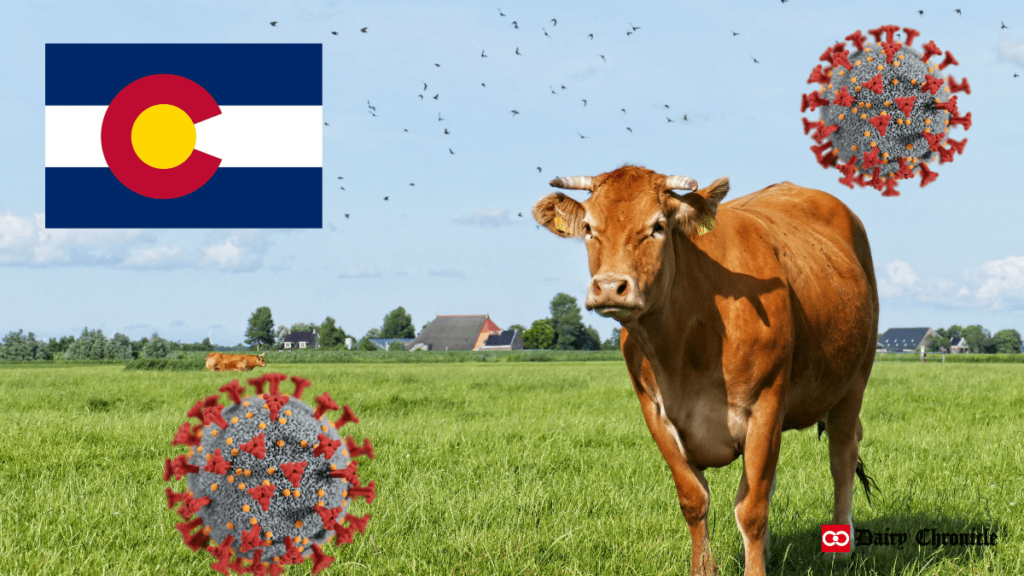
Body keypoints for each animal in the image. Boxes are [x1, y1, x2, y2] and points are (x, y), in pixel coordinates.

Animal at [532, 165, 876, 573]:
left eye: (658, 226)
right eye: (588, 227)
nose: (611, 287)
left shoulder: (765, 405)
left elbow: (751, 509)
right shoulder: (655, 413)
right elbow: (695, 500)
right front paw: (705, 567)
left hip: (853, 381)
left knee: (842, 458)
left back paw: (840, 550)